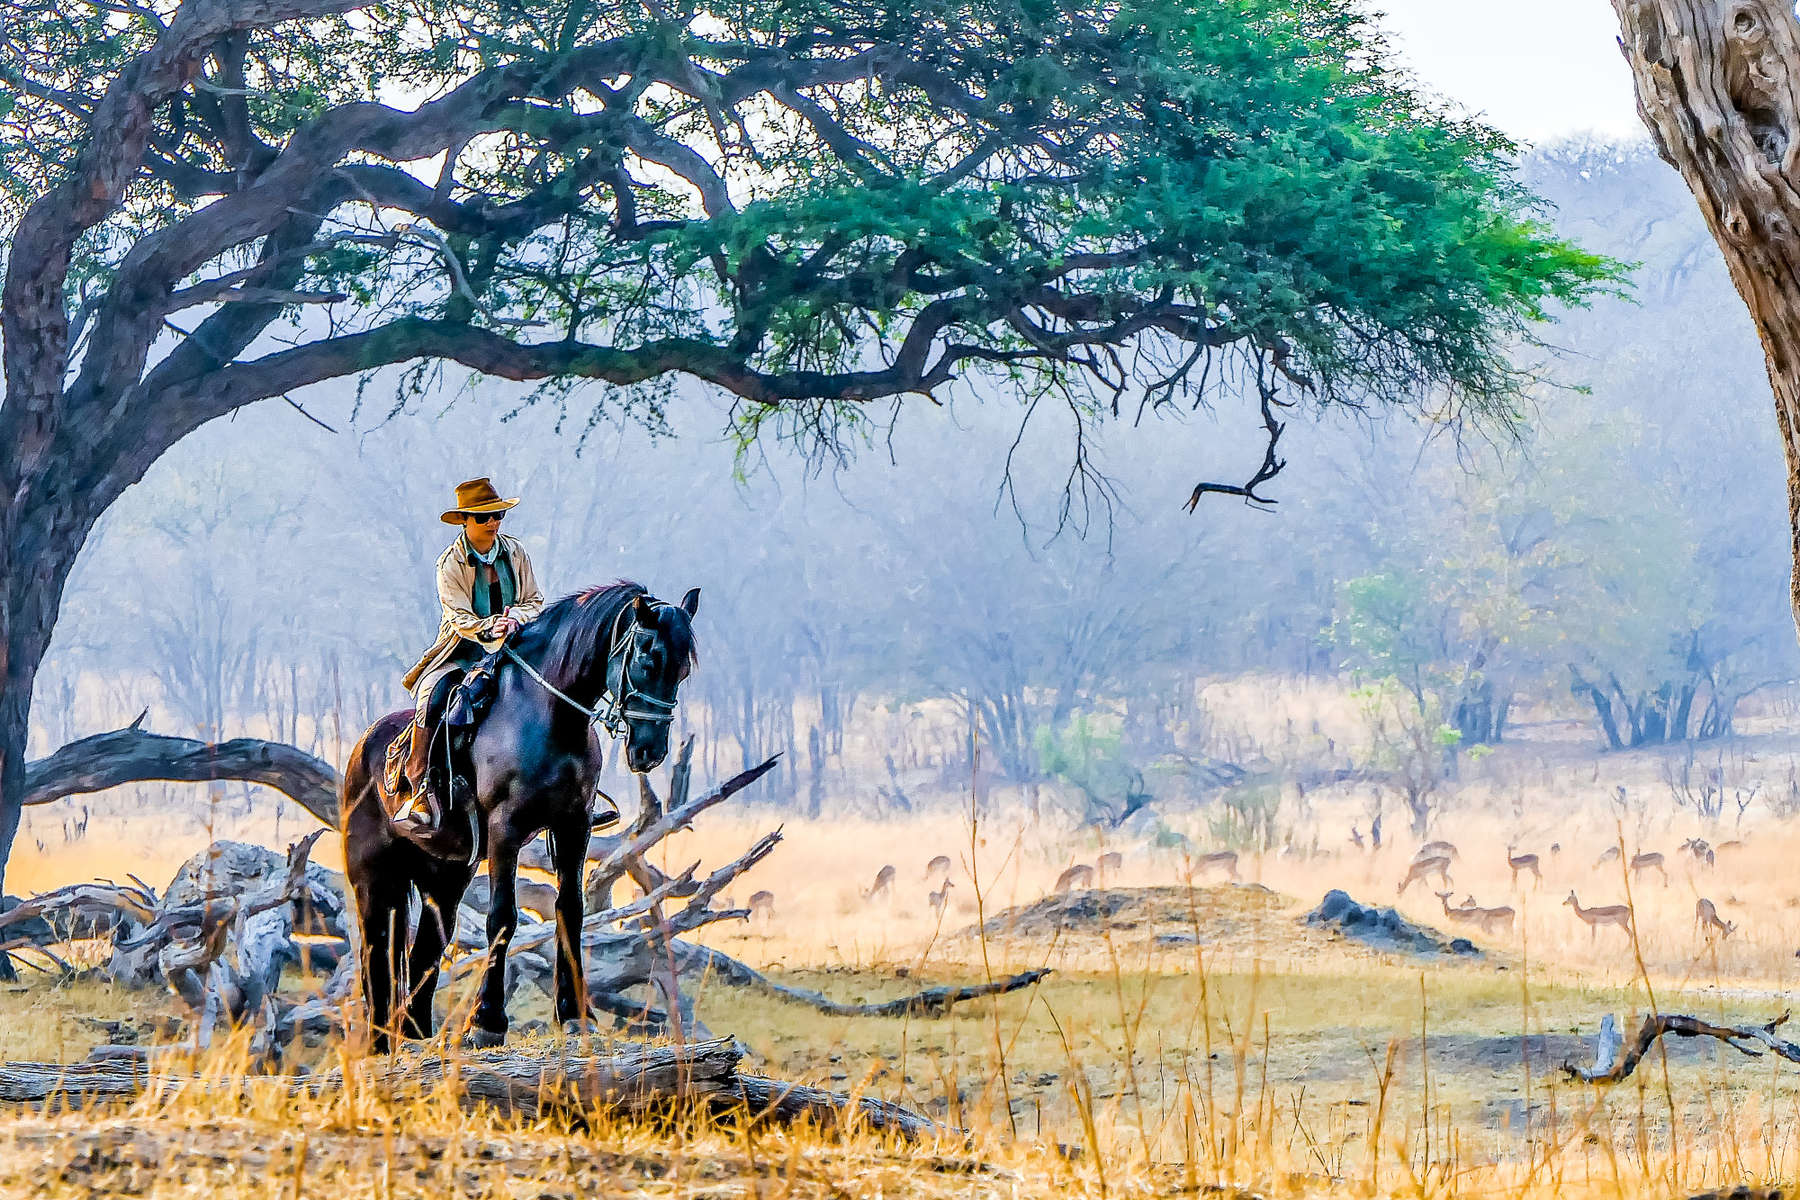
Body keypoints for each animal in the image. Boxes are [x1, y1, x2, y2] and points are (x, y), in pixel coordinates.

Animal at [340, 575, 698, 1043]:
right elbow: (502, 917)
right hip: (373, 878)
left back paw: (413, 1031)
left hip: (444, 876)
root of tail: (361, 748)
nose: (649, 751)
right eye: (647, 657)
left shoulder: (574, 826)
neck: (550, 716)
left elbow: (570, 910)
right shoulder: (504, 828)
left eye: (683, 669)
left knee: (425, 949)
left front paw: (575, 1013)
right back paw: (383, 1037)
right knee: (375, 949)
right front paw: (486, 1021)